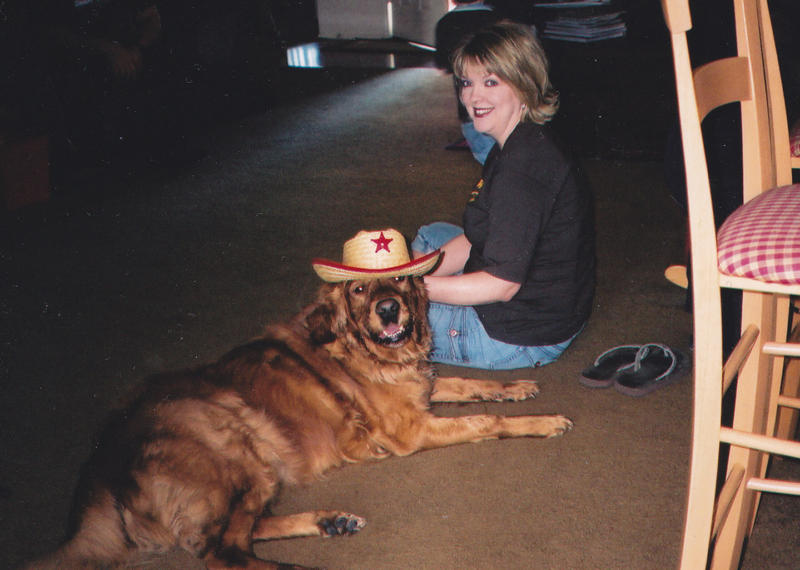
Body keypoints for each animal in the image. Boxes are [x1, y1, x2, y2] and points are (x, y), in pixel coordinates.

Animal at [28, 275, 572, 569]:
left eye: (397, 279)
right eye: (359, 288)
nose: (389, 309)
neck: (364, 351)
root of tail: (101, 462)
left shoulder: (419, 393)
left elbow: (464, 383)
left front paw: (513, 387)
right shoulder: (410, 430)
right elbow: (485, 420)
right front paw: (539, 420)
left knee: (244, 531)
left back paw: (329, 520)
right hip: (238, 446)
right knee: (223, 551)